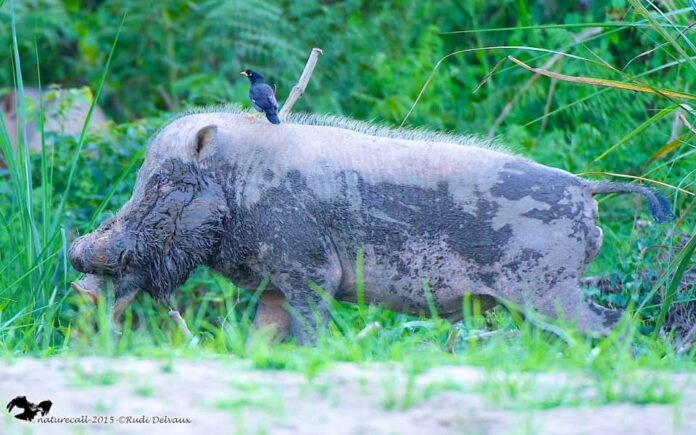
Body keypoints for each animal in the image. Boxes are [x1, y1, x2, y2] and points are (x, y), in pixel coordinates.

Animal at [68, 109, 674, 344]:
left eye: (167, 186)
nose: (80, 278)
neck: (240, 187)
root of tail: (584, 189)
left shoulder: (309, 272)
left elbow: (311, 332)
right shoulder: (272, 286)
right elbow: (261, 335)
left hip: (549, 289)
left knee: (615, 324)